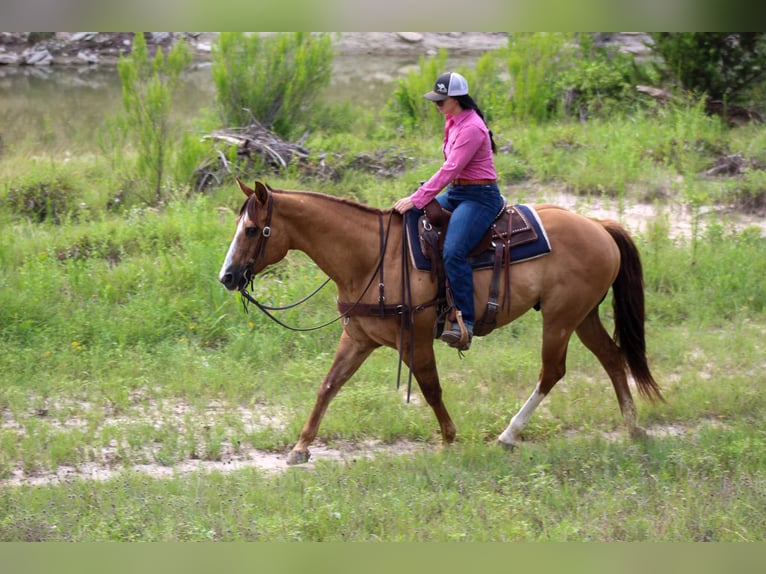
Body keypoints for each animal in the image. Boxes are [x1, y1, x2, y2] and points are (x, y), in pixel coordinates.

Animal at [218, 179, 664, 465]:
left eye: (253, 229)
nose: (227, 277)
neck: (373, 256)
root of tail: (599, 226)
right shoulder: (358, 338)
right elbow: (329, 386)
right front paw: (300, 446)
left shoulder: (414, 338)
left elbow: (431, 389)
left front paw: (448, 439)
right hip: (582, 315)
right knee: (612, 358)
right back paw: (632, 428)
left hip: (560, 318)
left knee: (552, 371)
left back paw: (508, 435)